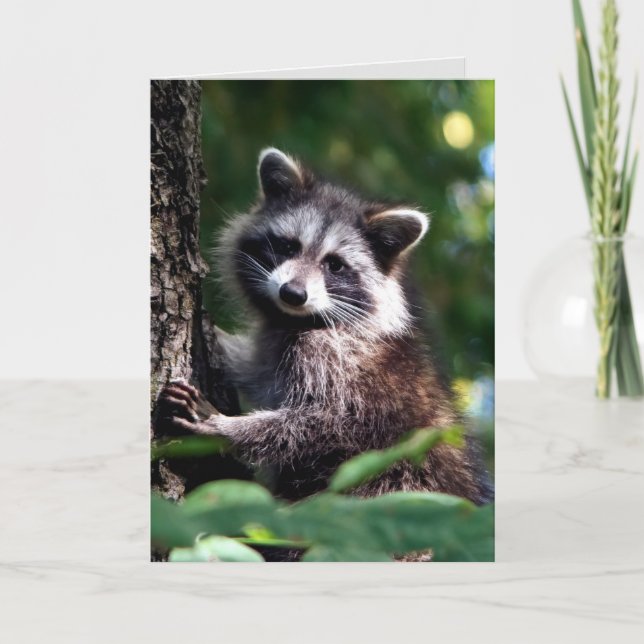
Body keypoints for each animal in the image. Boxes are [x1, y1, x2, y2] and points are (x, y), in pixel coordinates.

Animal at [159, 148, 492, 506]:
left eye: (334, 265)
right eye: (288, 246)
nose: (292, 293)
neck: (296, 319)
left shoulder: (338, 360)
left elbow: (326, 423)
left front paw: (224, 428)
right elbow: (256, 371)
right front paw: (220, 339)